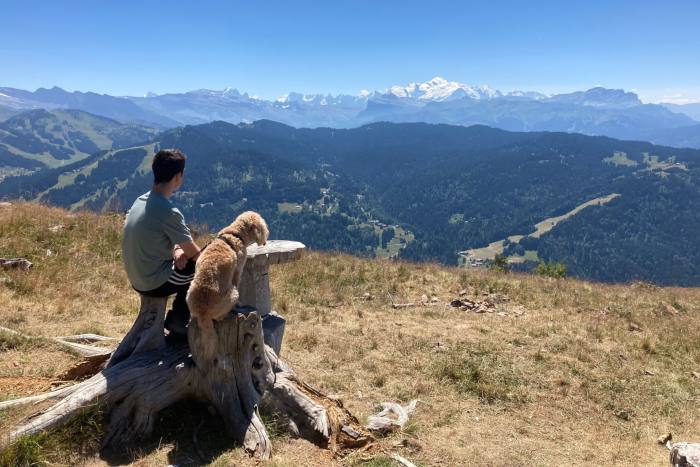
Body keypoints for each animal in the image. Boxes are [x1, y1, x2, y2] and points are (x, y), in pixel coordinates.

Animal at [186, 212, 268, 354]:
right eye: (263, 226)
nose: (265, 240)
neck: (235, 234)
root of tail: (203, 313)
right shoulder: (238, 271)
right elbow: (237, 281)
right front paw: (240, 305)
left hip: (188, 291)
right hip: (233, 293)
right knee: (219, 317)